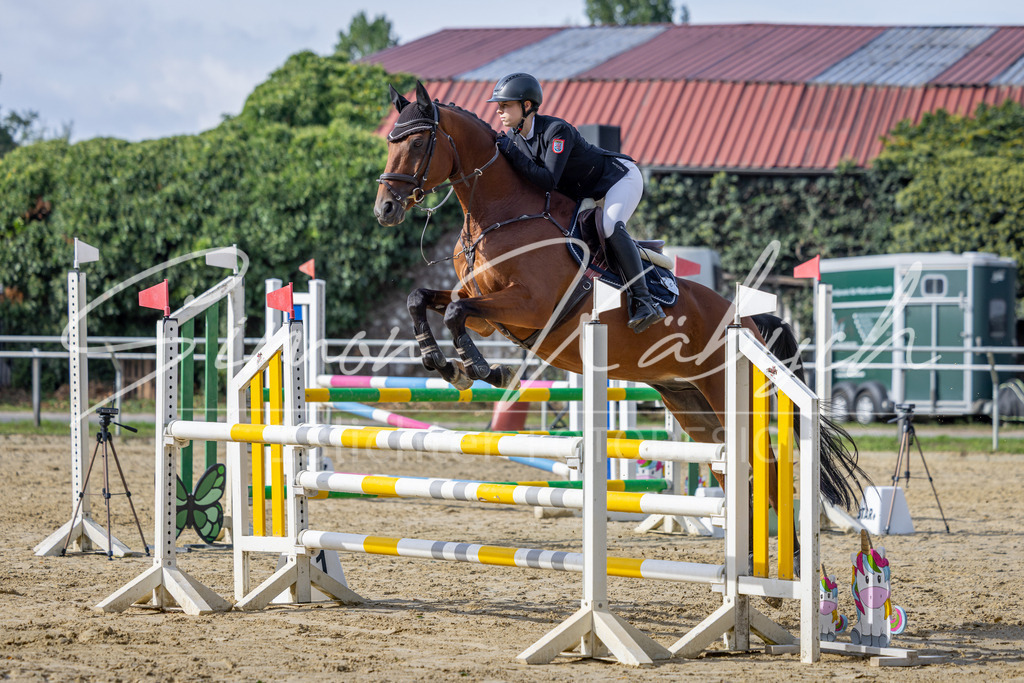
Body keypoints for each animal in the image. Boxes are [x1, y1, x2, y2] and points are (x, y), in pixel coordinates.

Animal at [373, 82, 864, 519]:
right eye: (390, 141)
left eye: (417, 142)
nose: (385, 210)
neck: (500, 213)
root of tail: (752, 324)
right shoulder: (486, 316)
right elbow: (424, 300)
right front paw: (443, 363)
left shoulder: (529, 305)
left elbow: (456, 311)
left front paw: (481, 369)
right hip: (690, 403)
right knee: (732, 469)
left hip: (726, 393)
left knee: (767, 468)